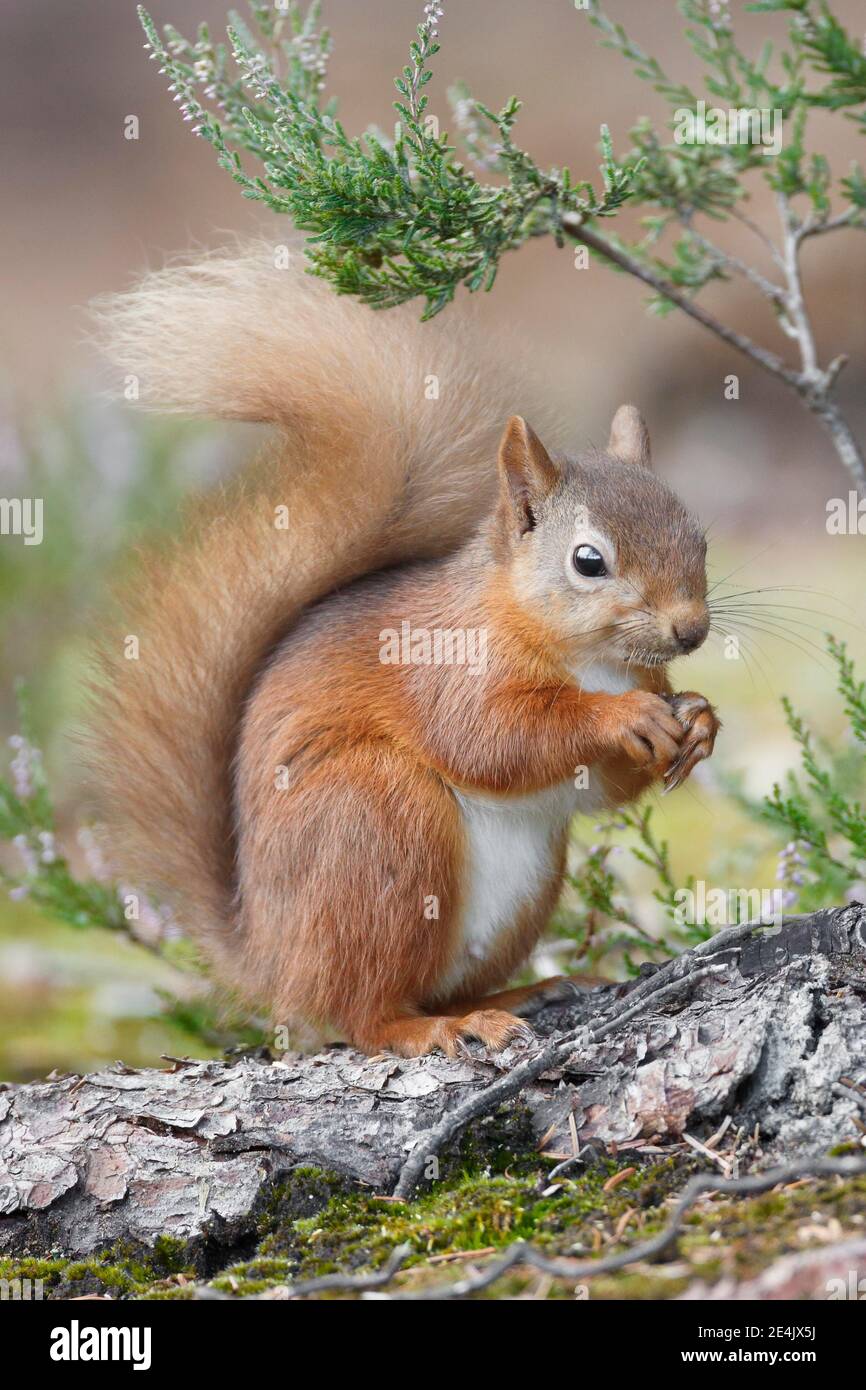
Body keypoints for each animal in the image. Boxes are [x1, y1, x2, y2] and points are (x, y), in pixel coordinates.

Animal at [91, 244, 722, 1056]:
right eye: (589, 561)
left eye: (698, 538)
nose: (691, 630)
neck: (594, 661)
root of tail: (268, 959)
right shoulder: (444, 667)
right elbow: (490, 738)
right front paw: (623, 719)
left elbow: (598, 789)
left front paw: (699, 720)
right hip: (376, 819)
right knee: (363, 1012)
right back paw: (433, 1027)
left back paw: (519, 993)